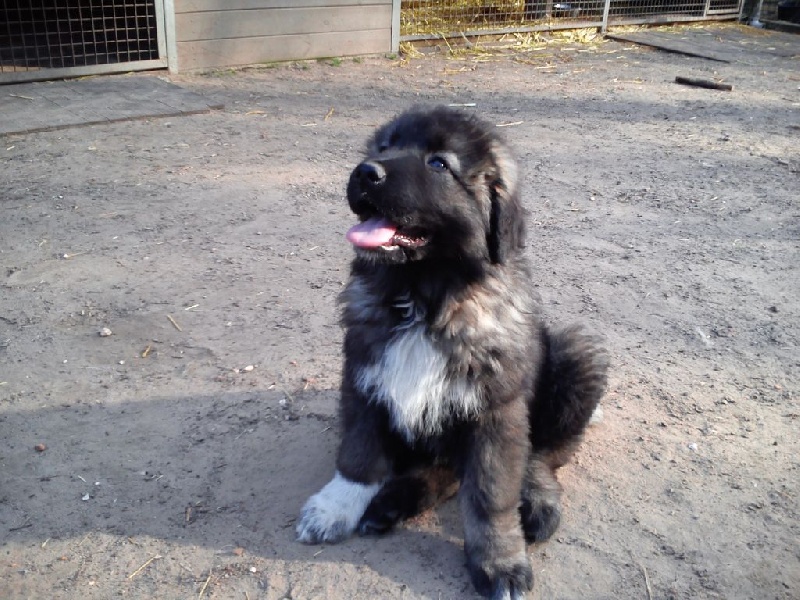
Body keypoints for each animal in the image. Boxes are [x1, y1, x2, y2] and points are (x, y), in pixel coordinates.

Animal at [296, 105, 608, 596]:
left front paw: (499, 560)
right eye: (384, 147)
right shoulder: (364, 378)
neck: (424, 299)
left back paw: (536, 499)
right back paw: (393, 500)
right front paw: (335, 507)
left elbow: (490, 495)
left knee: (542, 454)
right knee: (444, 469)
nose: (366, 172)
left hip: (576, 354)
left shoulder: (495, 411)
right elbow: (359, 456)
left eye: (439, 164)